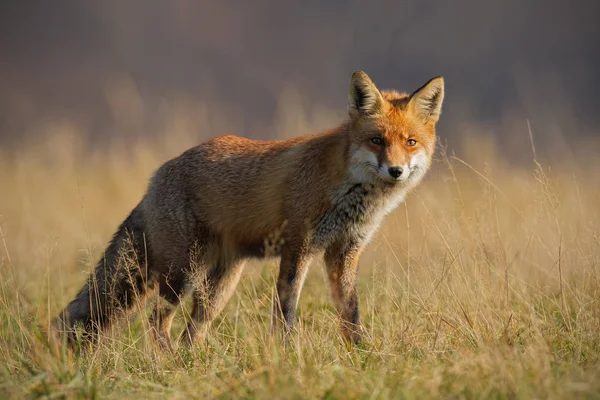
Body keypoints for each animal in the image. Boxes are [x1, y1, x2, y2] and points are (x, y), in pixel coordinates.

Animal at [54, 70, 442, 348]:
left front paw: (362, 356)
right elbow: (286, 312)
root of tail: (157, 176)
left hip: (220, 285)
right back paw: (165, 364)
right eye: (377, 140)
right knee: (156, 321)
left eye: (410, 142)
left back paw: (191, 366)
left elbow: (351, 314)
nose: (395, 171)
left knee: (190, 331)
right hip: (182, 273)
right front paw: (286, 355)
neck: (349, 190)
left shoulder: (344, 251)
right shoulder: (298, 245)